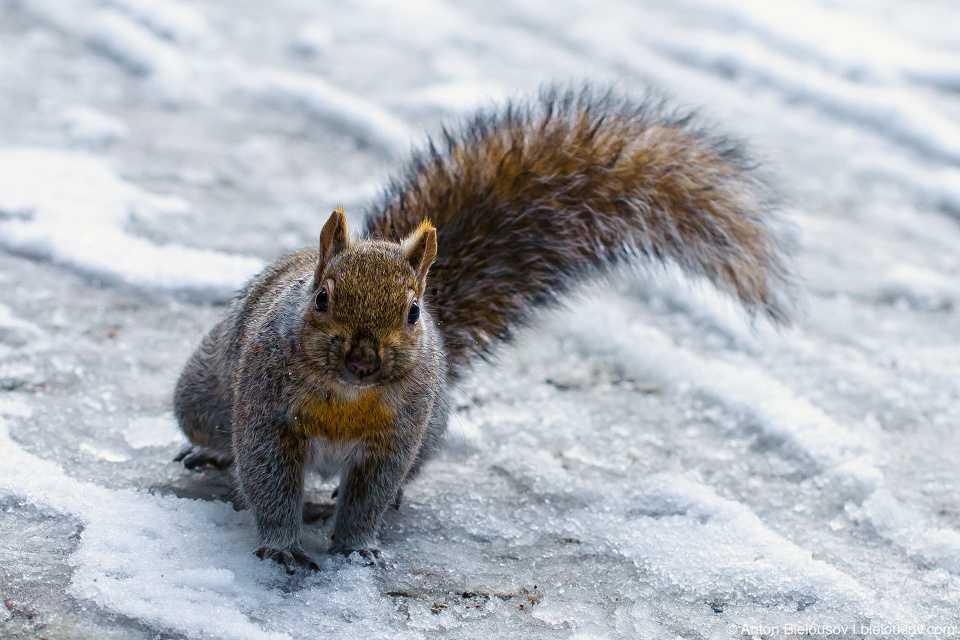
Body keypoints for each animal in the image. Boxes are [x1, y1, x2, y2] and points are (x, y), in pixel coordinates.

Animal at [171, 86, 788, 576]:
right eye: (321, 299)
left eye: (413, 312)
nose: (364, 361)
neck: (346, 395)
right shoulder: (266, 409)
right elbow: (270, 481)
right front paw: (281, 545)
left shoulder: (399, 434)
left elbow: (370, 495)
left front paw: (357, 547)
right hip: (202, 397)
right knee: (214, 430)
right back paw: (211, 456)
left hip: (431, 432)